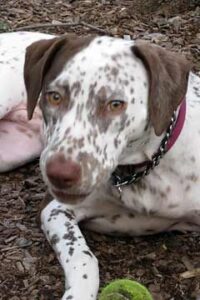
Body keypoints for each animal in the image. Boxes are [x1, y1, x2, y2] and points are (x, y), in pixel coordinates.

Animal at [0, 31, 200, 298]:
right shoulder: (54, 209)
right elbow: (84, 258)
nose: (59, 173)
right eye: (54, 96)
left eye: (115, 104)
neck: (140, 170)